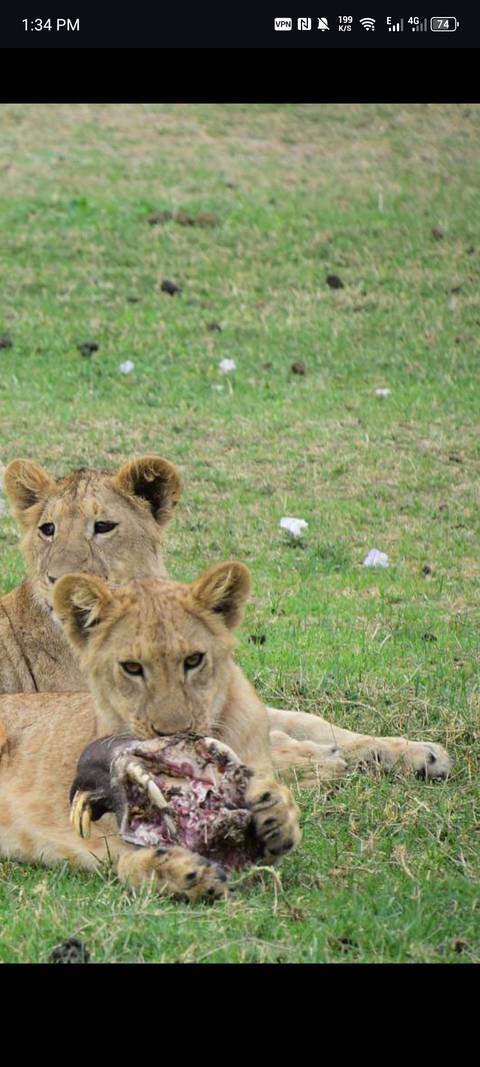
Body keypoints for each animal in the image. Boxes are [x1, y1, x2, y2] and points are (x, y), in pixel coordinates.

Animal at [0, 455, 451, 781]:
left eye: (104, 526)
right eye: (47, 529)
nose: (56, 579)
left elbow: (308, 719)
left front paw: (415, 751)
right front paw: (320, 758)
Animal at [0, 563, 301, 901]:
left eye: (194, 660)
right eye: (131, 667)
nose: (174, 735)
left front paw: (275, 812)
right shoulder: (115, 833)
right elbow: (129, 864)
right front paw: (185, 874)